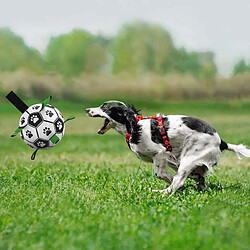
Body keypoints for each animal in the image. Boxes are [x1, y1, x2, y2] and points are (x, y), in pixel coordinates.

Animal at [86, 100, 250, 193]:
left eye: (104, 107)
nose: (87, 110)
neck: (134, 126)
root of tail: (221, 141)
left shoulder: (160, 153)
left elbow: (160, 174)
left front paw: (169, 180)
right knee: (200, 180)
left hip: (189, 158)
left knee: (179, 182)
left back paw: (161, 192)